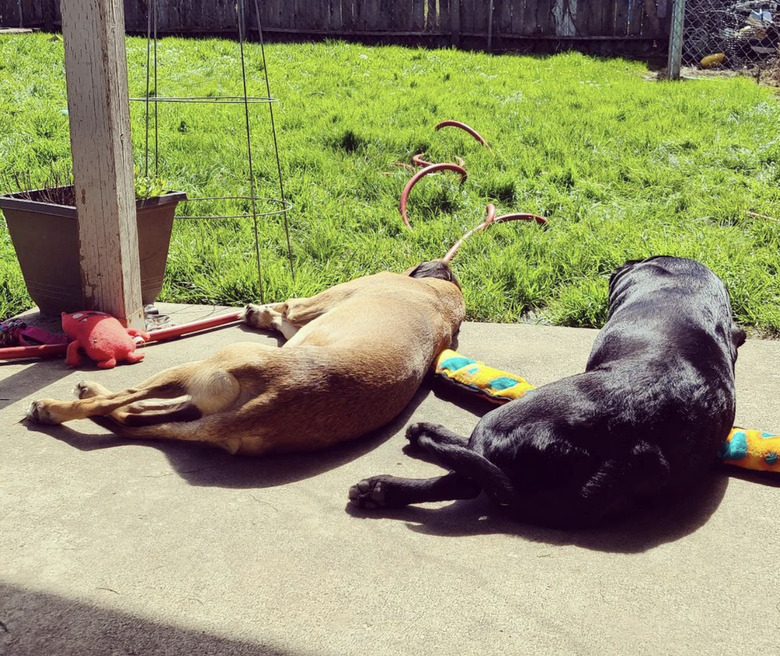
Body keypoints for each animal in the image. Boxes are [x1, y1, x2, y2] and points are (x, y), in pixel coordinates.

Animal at [25, 262, 464, 456]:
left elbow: (290, 307)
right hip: (204, 399)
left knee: (123, 401)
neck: (445, 302)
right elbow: (285, 320)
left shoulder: (318, 302)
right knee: (133, 416)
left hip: (202, 367)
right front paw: (259, 314)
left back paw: (56, 407)